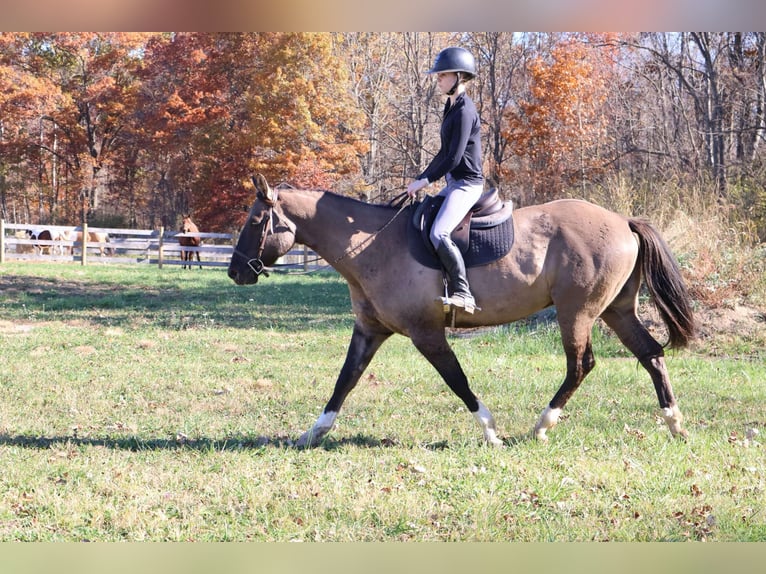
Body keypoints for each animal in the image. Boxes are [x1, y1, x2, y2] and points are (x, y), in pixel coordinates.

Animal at [226, 176, 696, 450]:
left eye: (255, 221)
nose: (235, 272)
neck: (373, 245)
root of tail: (622, 220)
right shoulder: (369, 330)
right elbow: (345, 380)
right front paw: (313, 433)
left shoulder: (426, 334)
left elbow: (457, 381)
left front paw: (490, 432)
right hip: (616, 310)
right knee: (652, 355)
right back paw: (674, 423)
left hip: (577, 313)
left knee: (582, 364)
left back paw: (542, 426)